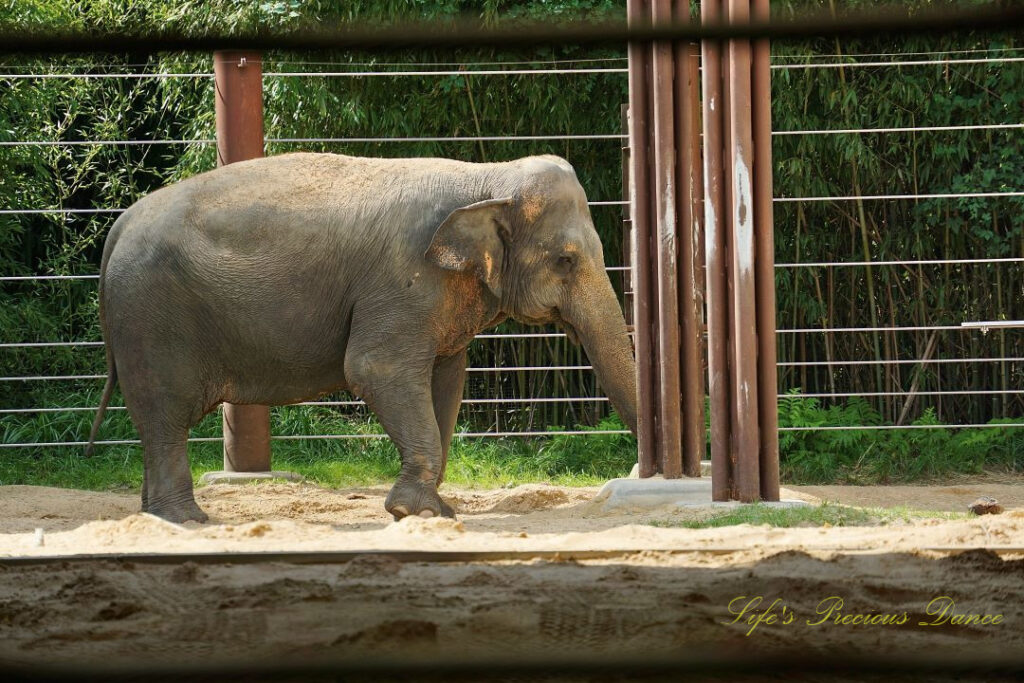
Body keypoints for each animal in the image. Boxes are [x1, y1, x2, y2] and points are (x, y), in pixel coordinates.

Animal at [88, 152, 634, 520]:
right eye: (565, 260)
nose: (630, 470)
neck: (486, 173)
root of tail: (122, 222)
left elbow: (446, 383)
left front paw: (438, 512)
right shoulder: (405, 279)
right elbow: (375, 369)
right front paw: (414, 513)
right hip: (153, 320)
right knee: (165, 415)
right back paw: (185, 521)